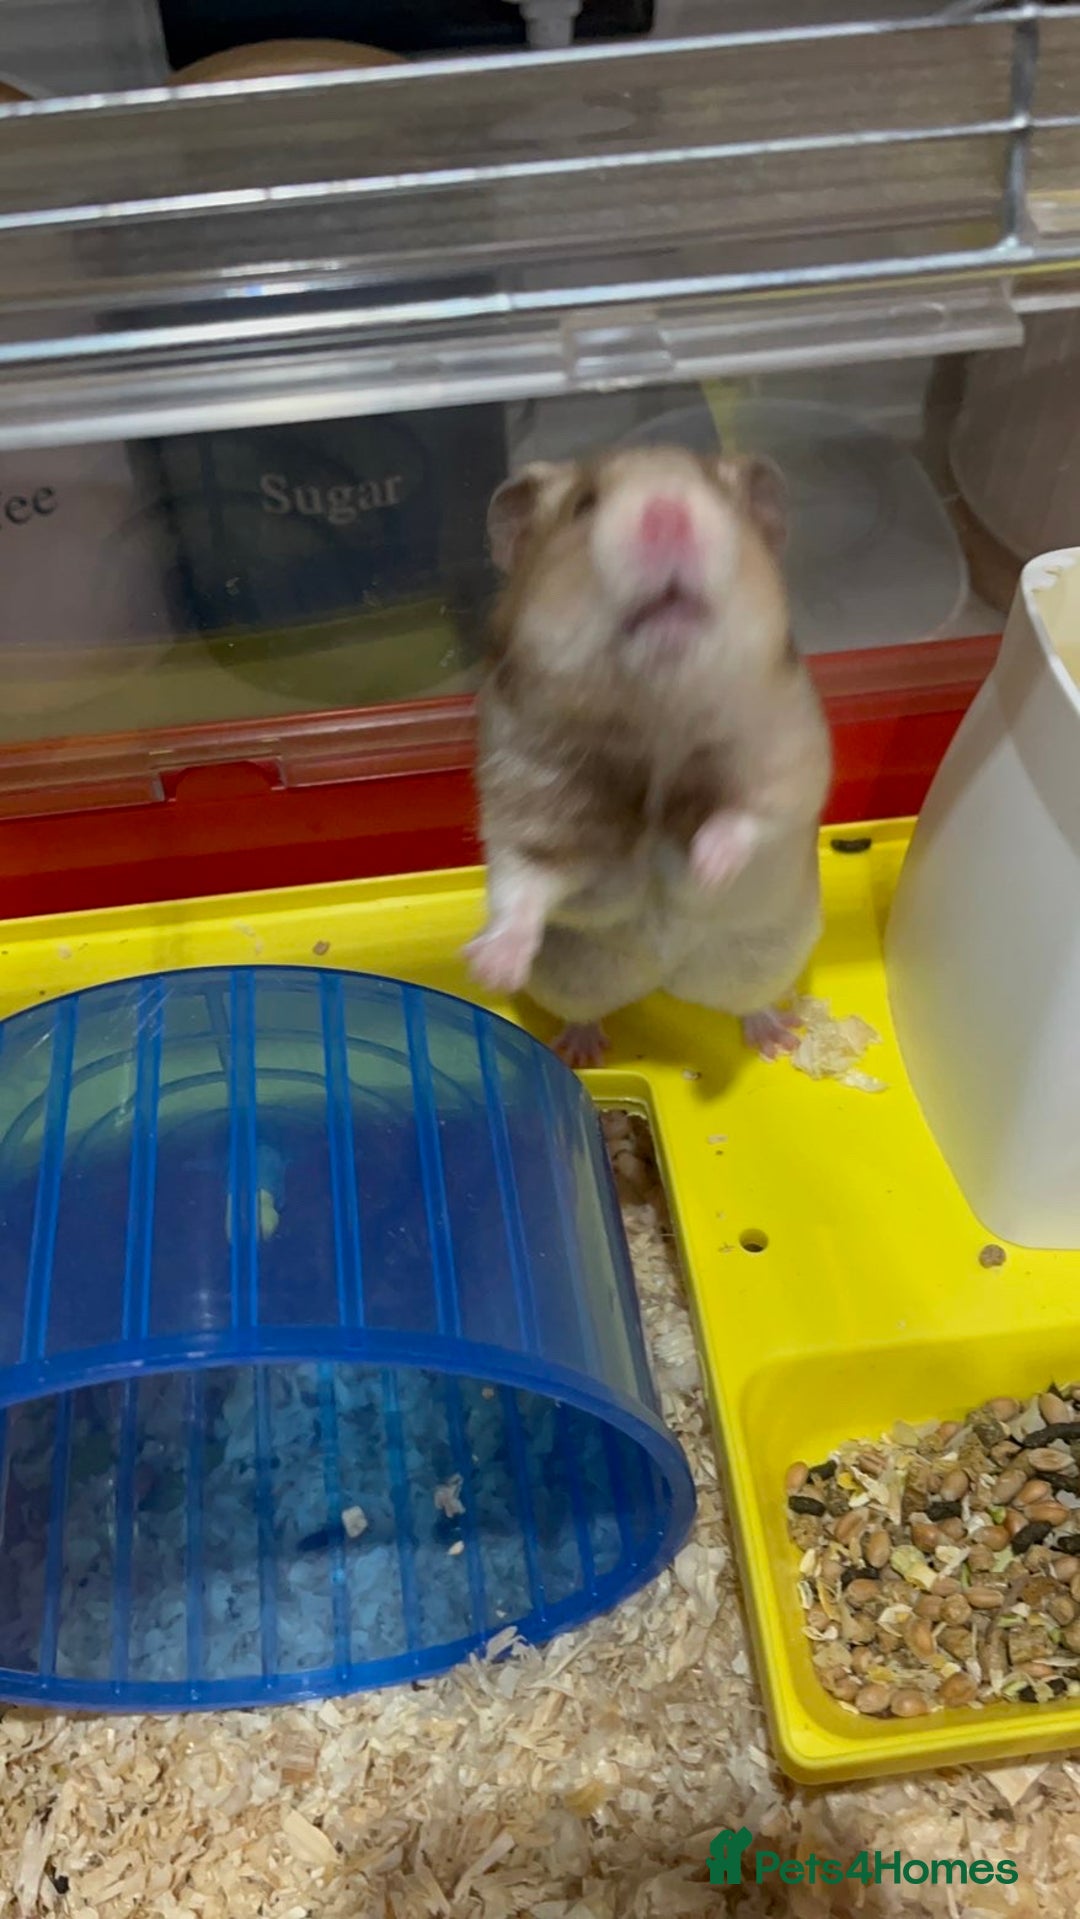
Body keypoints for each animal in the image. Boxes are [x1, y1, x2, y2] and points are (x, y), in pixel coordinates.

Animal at [464, 444, 832, 1068]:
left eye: (720, 497)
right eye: (583, 505)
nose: (669, 513)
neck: (657, 716)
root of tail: (663, 978)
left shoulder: (791, 760)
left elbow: (749, 814)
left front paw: (707, 864)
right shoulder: (529, 802)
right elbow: (523, 882)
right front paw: (488, 968)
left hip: (764, 960)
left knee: (751, 1005)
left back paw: (777, 1039)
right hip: (572, 978)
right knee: (583, 1009)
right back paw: (581, 1051)